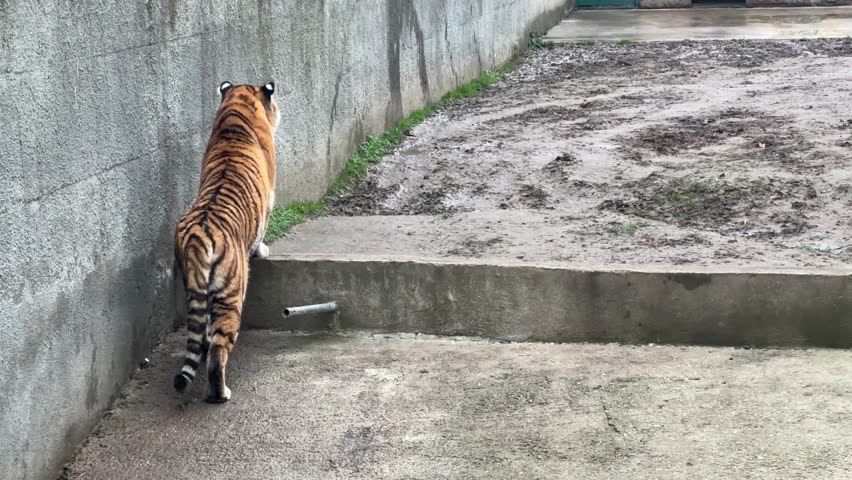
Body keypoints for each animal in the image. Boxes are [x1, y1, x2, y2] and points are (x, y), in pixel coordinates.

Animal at [172, 81, 280, 403]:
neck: (237, 108)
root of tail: (198, 235)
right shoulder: (269, 200)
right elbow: (262, 231)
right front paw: (263, 250)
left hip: (193, 285)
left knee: (203, 333)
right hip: (232, 292)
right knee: (219, 350)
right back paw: (220, 393)